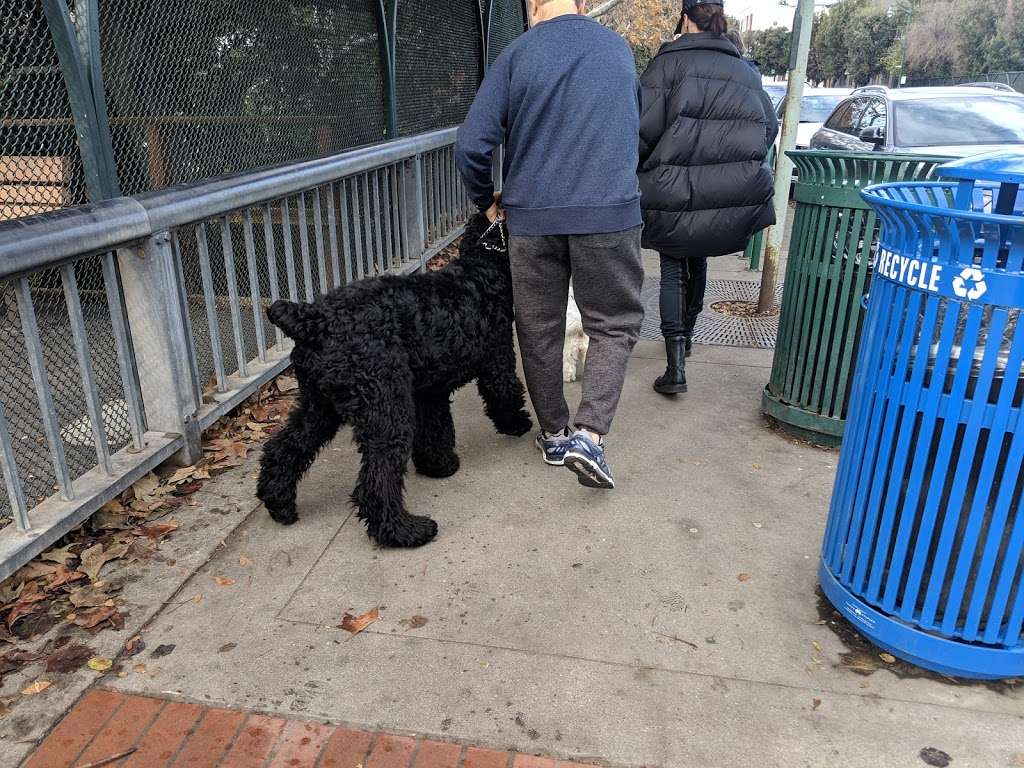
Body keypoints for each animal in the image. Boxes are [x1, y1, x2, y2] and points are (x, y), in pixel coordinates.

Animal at [256, 215, 532, 548]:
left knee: (285, 448)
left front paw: (438, 465)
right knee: (375, 481)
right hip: (385, 412)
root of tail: (314, 320)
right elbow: (504, 392)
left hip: (319, 406)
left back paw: (280, 503)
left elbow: (435, 429)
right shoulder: (498, 358)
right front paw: (517, 423)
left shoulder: (430, 392)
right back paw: (405, 530)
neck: (483, 266)